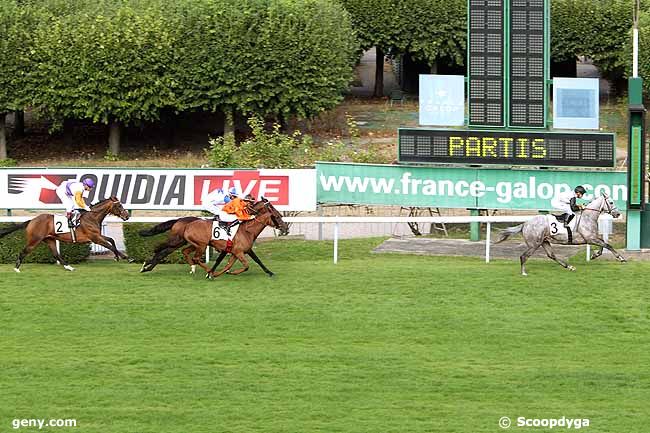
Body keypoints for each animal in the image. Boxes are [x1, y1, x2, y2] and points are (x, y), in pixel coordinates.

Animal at [0, 197, 130, 272]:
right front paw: (125, 257)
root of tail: (31, 220)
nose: (127, 216)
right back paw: (16, 268)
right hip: (34, 240)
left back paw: (68, 267)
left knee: (56, 254)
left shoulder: (96, 236)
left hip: (50, 239)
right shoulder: (95, 238)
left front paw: (119, 257)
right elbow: (110, 245)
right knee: (24, 251)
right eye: (119, 205)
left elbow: (111, 240)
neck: (91, 217)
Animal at [140, 197, 288, 276]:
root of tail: (180, 221)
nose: (285, 228)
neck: (247, 230)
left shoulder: (237, 250)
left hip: (190, 243)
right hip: (190, 242)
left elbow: (256, 260)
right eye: (273, 210)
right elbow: (229, 262)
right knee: (163, 249)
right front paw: (213, 272)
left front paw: (270, 272)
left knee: (175, 252)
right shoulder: (233, 249)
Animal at [494, 194, 624, 276]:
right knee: (523, 256)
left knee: (551, 255)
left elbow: (604, 245)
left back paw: (569, 267)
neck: (587, 217)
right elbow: (607, 245)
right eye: (611, 202)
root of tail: (525, 223)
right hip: (534, 244)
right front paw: (621, 258)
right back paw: (523, 273)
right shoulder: (590, 238)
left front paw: (594, 255)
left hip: (544, 241)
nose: (617, 214)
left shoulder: (592, 238)